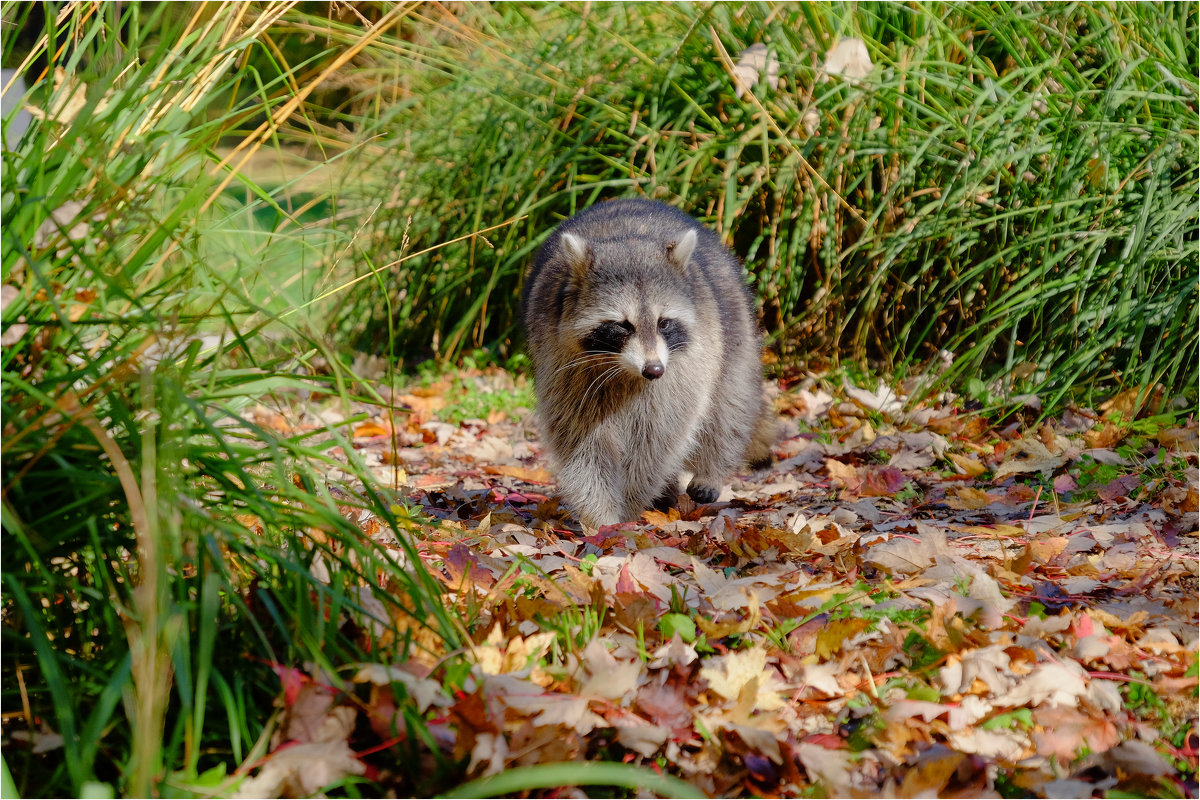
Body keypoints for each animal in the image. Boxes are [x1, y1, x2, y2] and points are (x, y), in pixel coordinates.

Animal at [523, 196, 768, 527]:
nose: (653, 370)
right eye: (623, 326)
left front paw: (630, 499)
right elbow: (583, 439)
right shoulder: (564, 362)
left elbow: (659, 436)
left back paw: (710, 472)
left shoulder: (685, 365)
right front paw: (602, 513)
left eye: (664, 323)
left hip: (733, 323)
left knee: (729, 404)